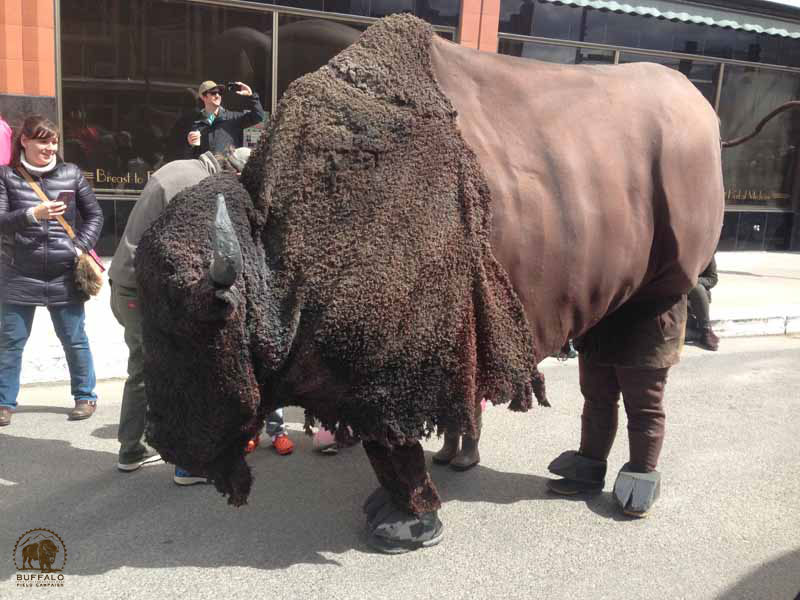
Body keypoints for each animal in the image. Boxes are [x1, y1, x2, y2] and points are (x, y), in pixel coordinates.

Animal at [135, 14, 724, 554]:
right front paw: (393, 507)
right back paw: (575, 472)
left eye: (207, 319)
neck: (276, 242)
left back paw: (633, 488)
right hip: (608, 295)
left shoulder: (387, 373)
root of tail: (699, 104)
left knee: (644, 385)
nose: (165, 439)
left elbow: (392, 451)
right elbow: (388, 449)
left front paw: (405, 525)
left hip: (663, 291)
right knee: (599, 382)